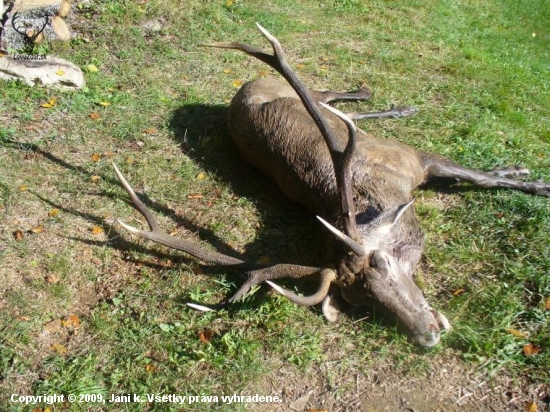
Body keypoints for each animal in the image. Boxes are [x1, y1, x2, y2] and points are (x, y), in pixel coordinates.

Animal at [112, 25, 550, 348]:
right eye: (361, 301)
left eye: (384, 262)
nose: (426, 337)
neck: (379, 194)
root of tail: (245, 85)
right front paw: (520, 172)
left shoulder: (412, 156)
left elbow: (480, 176)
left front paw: (529, 177)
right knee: (336, 106)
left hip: (301, 92)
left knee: (327, 97)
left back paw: (378, 96)